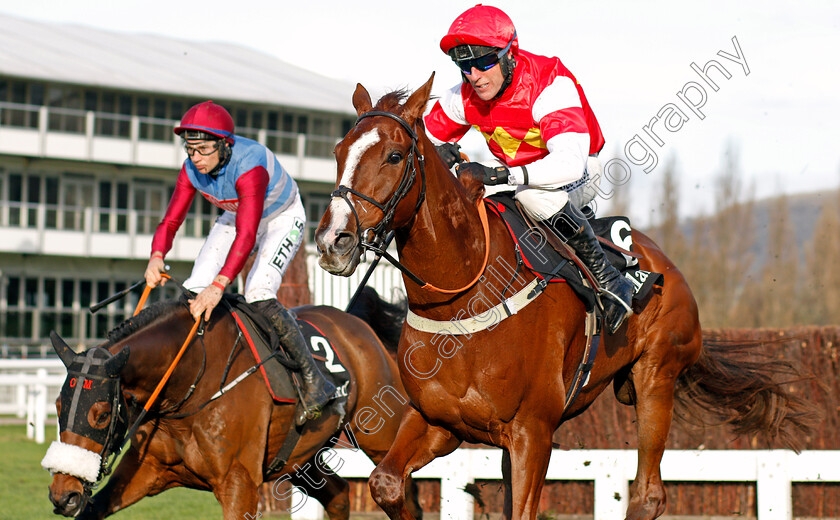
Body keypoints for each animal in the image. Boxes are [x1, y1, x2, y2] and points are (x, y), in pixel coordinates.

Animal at [44, 296, 418, 520]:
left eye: (102, 414)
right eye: (59, 405)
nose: (64, 495)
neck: (191, 378)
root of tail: (354, 321)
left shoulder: (239, 484)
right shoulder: (148, 471)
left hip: (380, 434)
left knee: (402, 493)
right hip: (299, 458)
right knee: (339, 494)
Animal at [316, 74, 812, 520]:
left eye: (394, 155)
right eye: (338, 152)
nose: (332, 240)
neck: (465, 298)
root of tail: (665, 263)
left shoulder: (532, 431)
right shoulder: (440, 422)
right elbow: (385, 483)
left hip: (656, 377)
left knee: (647, 495)